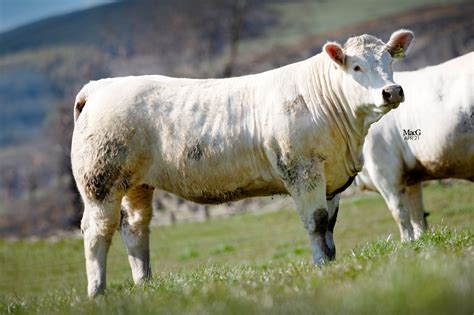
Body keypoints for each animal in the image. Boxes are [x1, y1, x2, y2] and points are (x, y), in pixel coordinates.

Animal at [71, 29, 414, 296]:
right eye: (356, 66)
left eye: (390, 61)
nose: (392, 91)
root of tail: (101, 85)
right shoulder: (303, 170)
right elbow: (315, 222)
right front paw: (320, 265)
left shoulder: (331, 178)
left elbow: (329, 224)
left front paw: (331, 261)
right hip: (100, 182)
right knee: (97, 232)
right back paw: (97, 292)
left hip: (137, 184)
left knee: (135, 228)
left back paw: (145, 284)